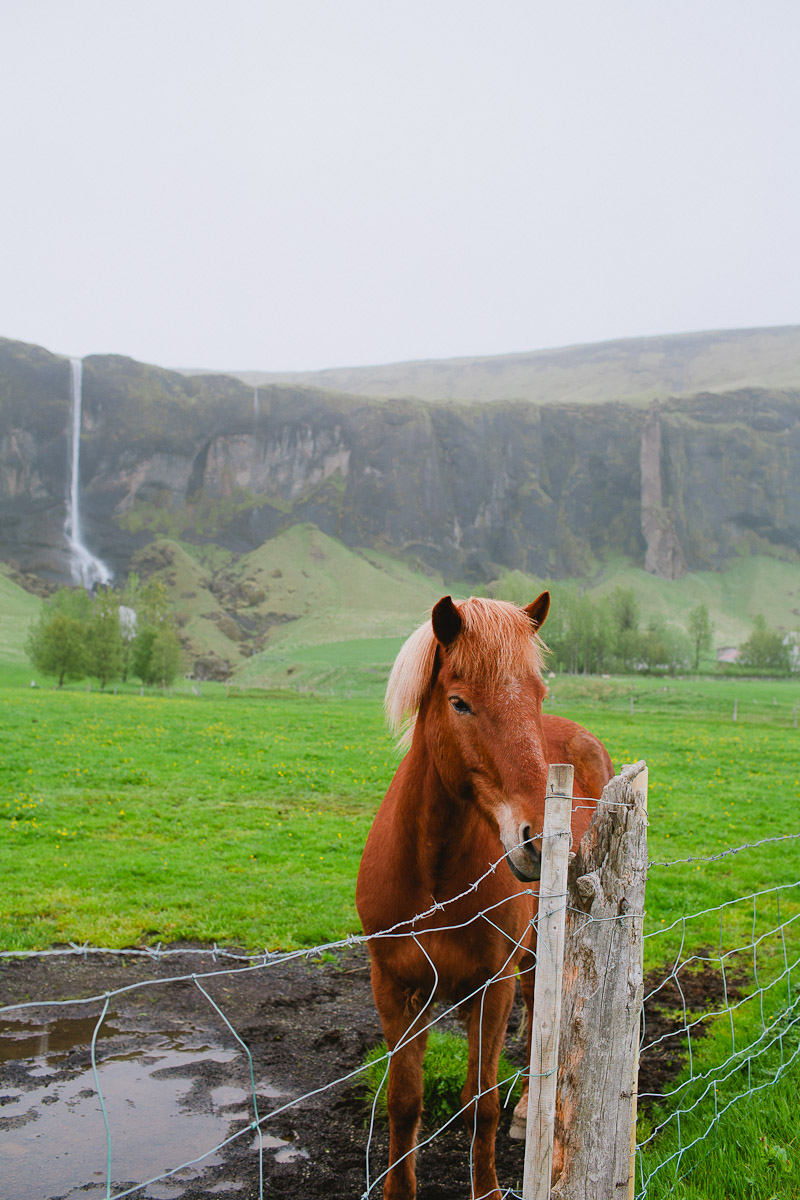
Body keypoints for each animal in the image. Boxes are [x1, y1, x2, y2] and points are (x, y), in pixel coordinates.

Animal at [357, 592, 614, 1200]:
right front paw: (398, 1189)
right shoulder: (394, 988)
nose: (543, 840)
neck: (433, 880)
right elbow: (404, 1102)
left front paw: (488, 1188)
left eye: (538, 695)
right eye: (459, 703)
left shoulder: (490, 990)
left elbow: (481, 1104)